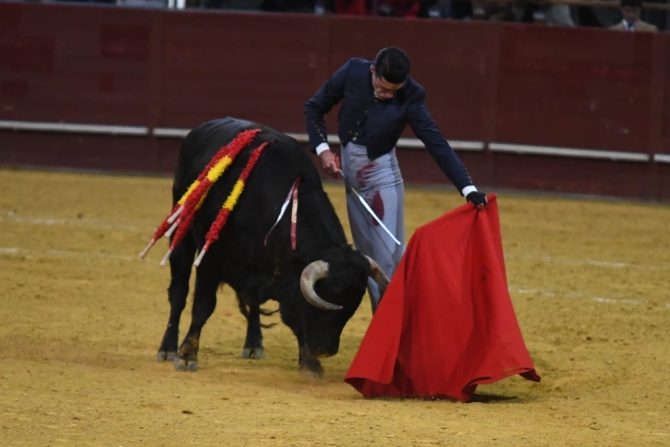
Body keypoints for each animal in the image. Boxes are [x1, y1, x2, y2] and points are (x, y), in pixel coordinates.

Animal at [155, 117, 392, 376]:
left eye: (351, 309)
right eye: (325, 302)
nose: (326, 351)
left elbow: (288, 315)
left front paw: (309, 363)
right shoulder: (211, 259)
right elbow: (203, 306)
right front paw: (187, 355)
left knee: (251, 302)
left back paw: (253, 344)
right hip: (182, 230)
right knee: (179, 292)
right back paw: (167, 349)